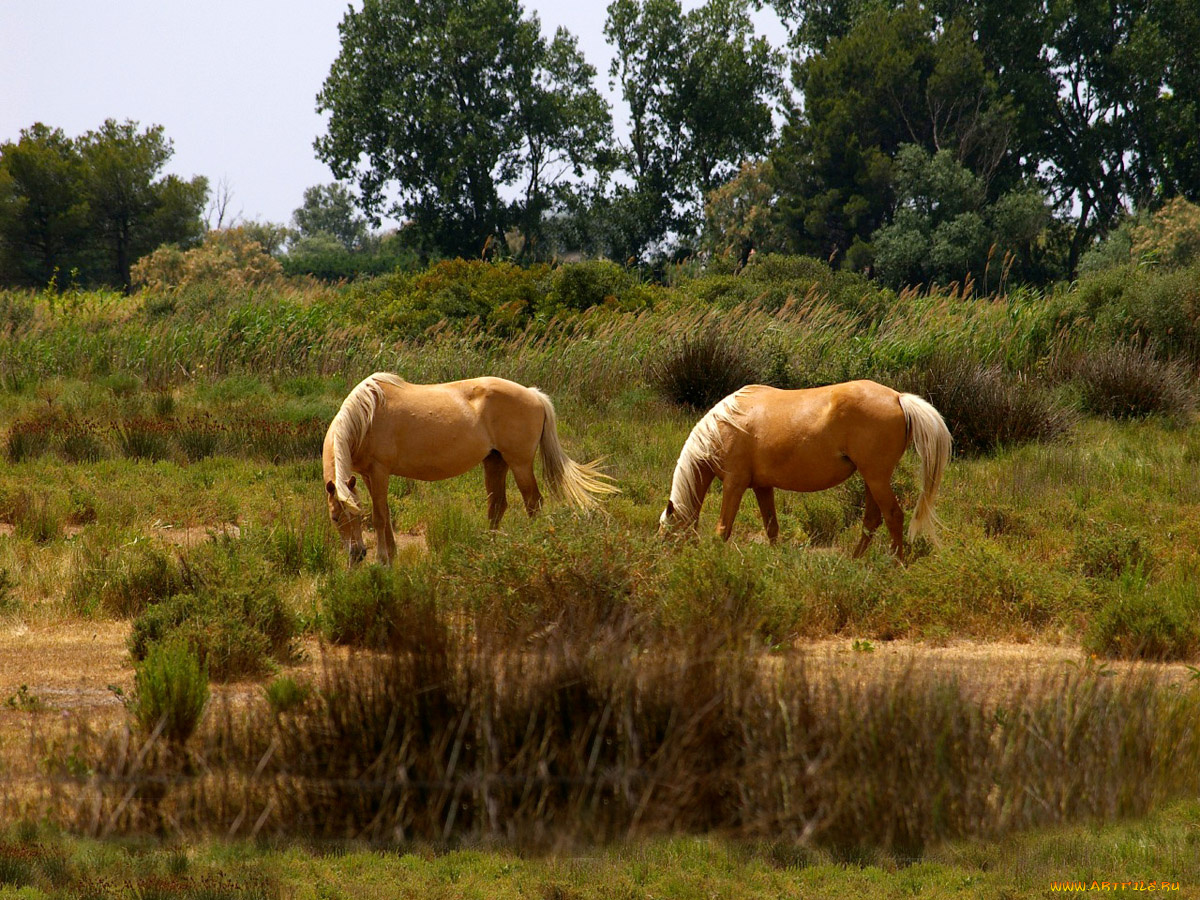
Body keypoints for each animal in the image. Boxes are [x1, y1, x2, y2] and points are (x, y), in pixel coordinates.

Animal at [324, 374, 614, 564]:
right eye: (336, 518)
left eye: (353, 518)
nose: (357, 554)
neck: (365, 418)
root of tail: (534, 394)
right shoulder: (368, 475)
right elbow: (383, 513)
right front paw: (392, 555)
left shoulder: (380, 472)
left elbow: (380, 517)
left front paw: (383, 560)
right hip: (495, 462)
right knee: (498, 505)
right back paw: (491, 550)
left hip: (520, 464)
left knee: (533, 502)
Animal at [657, 379, 945, 561]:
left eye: (667, 535)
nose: (661, 563)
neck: (723, 426)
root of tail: (898, 398)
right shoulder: (762, 487)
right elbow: (772, 528)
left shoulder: (734, 484)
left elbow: (722, 531)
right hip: (872, 479)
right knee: (872, 521)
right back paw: (854, 562)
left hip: (876, 478)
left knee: (894, 517)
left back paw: (896, 565)